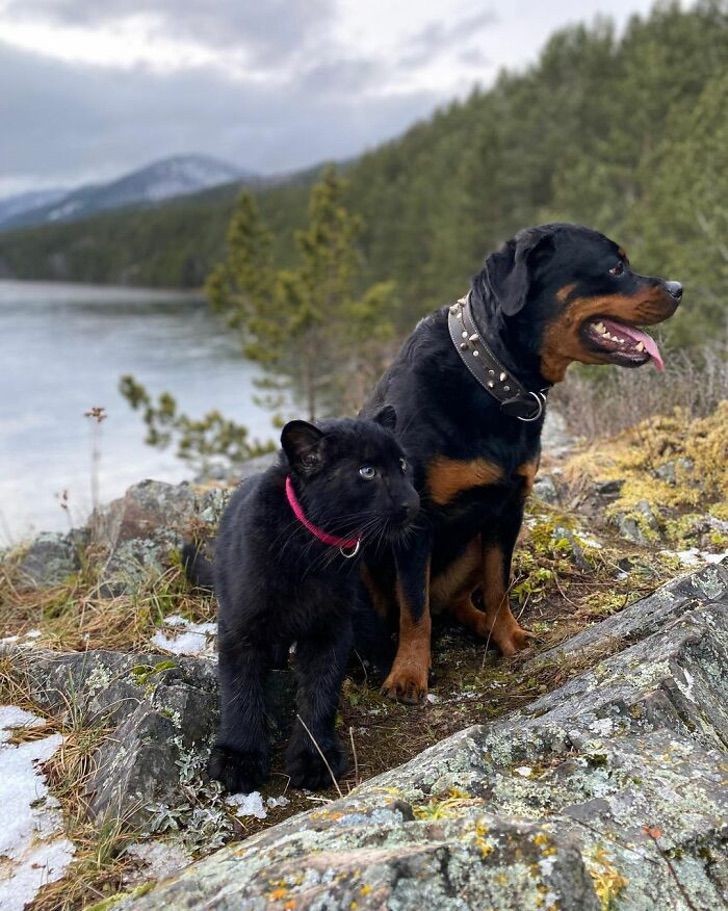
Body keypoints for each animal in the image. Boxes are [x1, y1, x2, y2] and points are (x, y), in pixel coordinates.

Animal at [362, 223, 684, 704]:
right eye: (615, 267)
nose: (679, 288)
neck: (492, 376)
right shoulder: (415, 520)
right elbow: (414, 608)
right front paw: (408, 674)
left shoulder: (508, 509)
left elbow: (499, 586)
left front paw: (509, 638)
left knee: (455, 602)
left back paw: (479, 626)